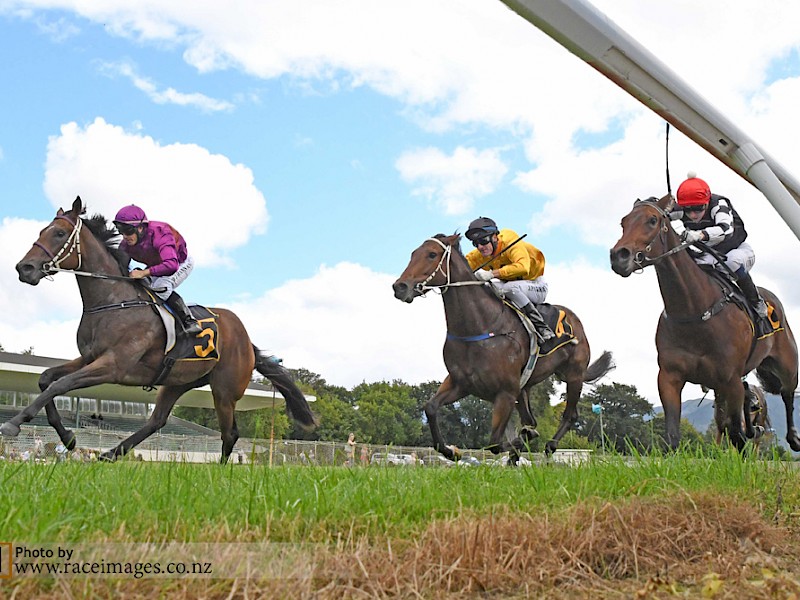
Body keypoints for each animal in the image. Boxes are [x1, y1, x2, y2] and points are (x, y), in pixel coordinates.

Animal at [3, 199, 316, 462]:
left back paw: (219, 474)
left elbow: (59, 385)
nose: (24, 268)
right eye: (42, 230)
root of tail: (247, 341)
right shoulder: (89, 358)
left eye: (58, 233)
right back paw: (112, 453)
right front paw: (68, 437)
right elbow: (46, 379)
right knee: (157, 420)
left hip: (225, 390)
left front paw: (14, 423)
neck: (112, 300)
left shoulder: (113, 365)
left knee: (230, 434)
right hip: (178, 381)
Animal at [392, 233, 612, 460]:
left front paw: (522, 440)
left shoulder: (505, 393)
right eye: (413, 253)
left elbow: (495, 443)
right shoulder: (460, 383)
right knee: (530, 420)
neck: (478, 328)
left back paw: (549, 446)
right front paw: (451, 451)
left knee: (570, 414)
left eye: (431, 254)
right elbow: (431, 407)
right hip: (524, 389)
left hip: (574, 375)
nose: (400, 287)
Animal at [608, 195, 796, 452]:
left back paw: (793, 438)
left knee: (788, 394)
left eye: (652, 220)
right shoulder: (669, 377)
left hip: (787, 365)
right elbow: (673, 435)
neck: (694, 311)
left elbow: (736, 435)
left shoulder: (732, 381)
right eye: (623, 222)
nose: (619, 256)